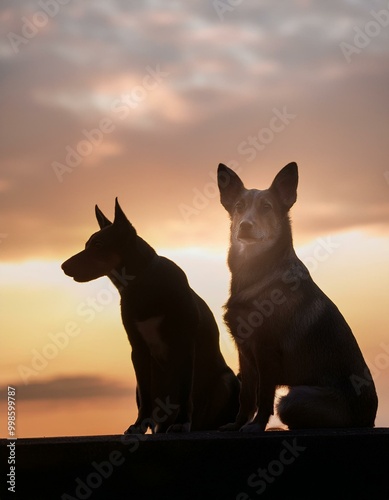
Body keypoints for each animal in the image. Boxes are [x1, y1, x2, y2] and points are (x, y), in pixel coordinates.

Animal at [61, 199, 238, 434]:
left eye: (98, 245)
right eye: (87, 244)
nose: (63, 266)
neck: (142, 285)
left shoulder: (185, 343)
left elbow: (185, 389)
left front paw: (182, 422)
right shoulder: (139, 350)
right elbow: (146, 396)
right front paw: (138, 425)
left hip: (226, 381)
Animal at [215, 162, 376, 432]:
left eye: (266, 207)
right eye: (239, 206)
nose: (245, 225)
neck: (256, 271)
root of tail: (369, 419)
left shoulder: (266, 349)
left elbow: (264, 394)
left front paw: (257, 426)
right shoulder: (245, 349)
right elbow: (246, 394)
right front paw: (236, 424)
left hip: (295, 397)